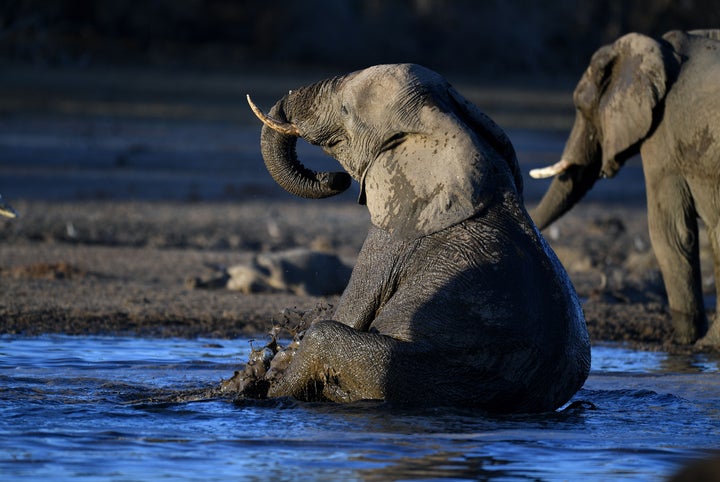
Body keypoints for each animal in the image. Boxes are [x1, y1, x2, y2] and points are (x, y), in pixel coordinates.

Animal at [246, 63, 590, 413]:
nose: (335, 179)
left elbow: (351, 312)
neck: (445, 124)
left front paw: (266, 376)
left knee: (324, 336)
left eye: (345, 109)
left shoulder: (394, 234)